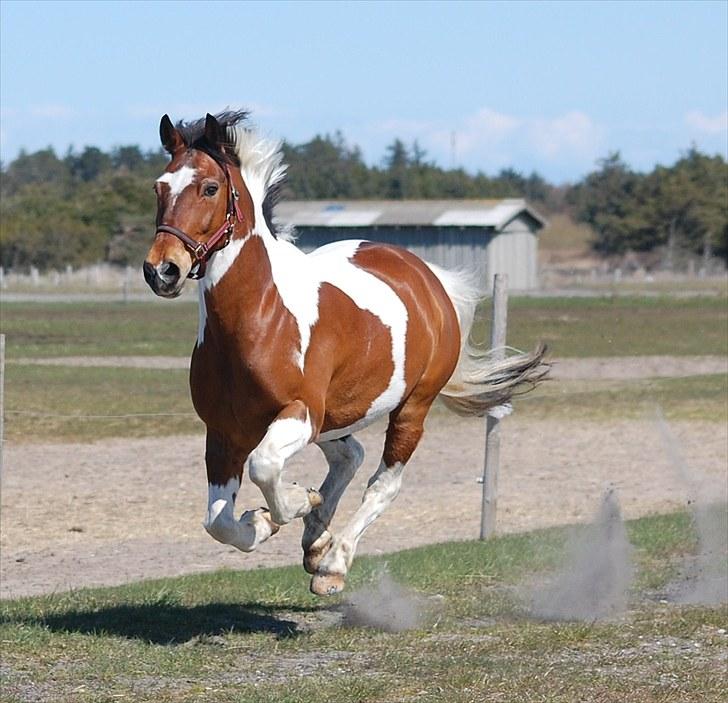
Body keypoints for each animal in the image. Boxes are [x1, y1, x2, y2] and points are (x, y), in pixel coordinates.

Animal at [144, 113, 544, 596]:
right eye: (159, 188)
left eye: (209, 188)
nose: (162, 270)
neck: (256, 320)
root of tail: (427, 278)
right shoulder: (223, 433)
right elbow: (217, 522)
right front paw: (266, 521)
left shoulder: (299, 414)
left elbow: (265, 467)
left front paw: (292, 504)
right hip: (337, 415)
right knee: (349, 455)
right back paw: (316, 539)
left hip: (410, 408)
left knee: (382, 484)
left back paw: (332, 563)